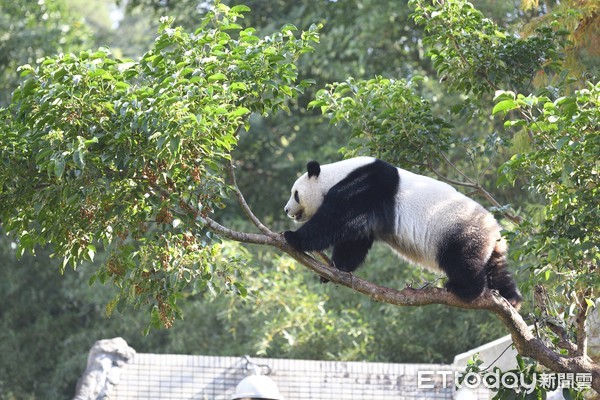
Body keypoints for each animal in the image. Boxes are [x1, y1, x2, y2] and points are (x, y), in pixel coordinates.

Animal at [284, 157, 524, 310]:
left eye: (295, 194)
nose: (286, 210)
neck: (337, 174)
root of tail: (494, 232)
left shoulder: (366, 186)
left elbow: (337, 218)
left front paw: (293, 237)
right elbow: (355, 241)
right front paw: (335, 269)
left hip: (459, 230)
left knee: (462, 260)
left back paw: (464, 289)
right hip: (489, 245)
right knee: (496, 269)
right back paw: (511, 298)